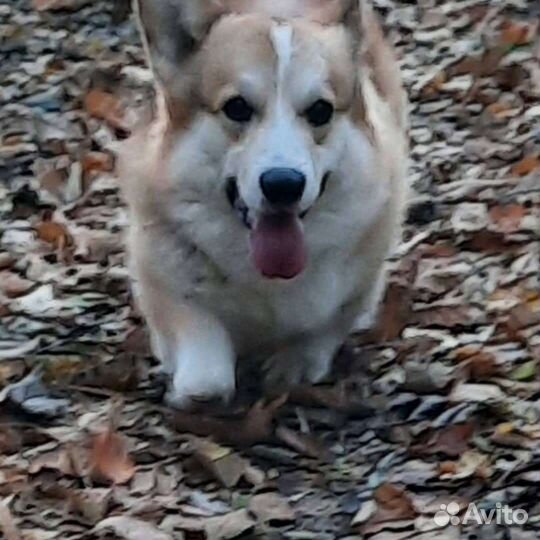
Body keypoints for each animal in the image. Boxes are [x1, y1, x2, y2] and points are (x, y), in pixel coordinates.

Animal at [122, 0, 410, 404]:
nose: (283, 185)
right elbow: (206, 366)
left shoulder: (358, 282)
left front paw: (294, 363)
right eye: (237, 108)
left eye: (320, 111)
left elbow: (324, 326)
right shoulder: (164, 280)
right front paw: (195, 388)